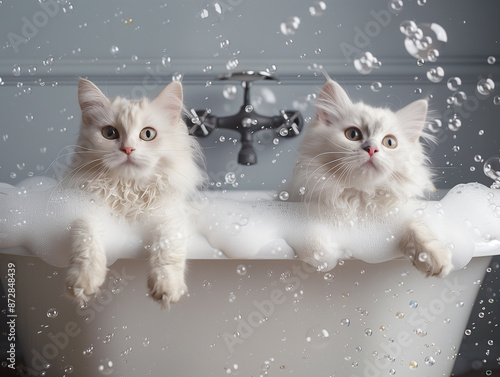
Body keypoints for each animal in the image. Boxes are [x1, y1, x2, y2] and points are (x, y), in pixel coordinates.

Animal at [65, 78, 205, 306]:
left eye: (148, 134)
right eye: (110, 133)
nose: (128, 149)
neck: (128, 190)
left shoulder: (170, 218)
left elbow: (168, 249)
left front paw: (166, 286)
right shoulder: (87, 212)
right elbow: (87, 243)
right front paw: (84, 281)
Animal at [290, 79, 454, 276]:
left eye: (390, 142)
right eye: (353, 134)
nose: (371, 149)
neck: (361, 202)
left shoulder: (399, 216)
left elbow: (415, 227)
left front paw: (435, 257)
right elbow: (312, 239)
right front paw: (325, 258)